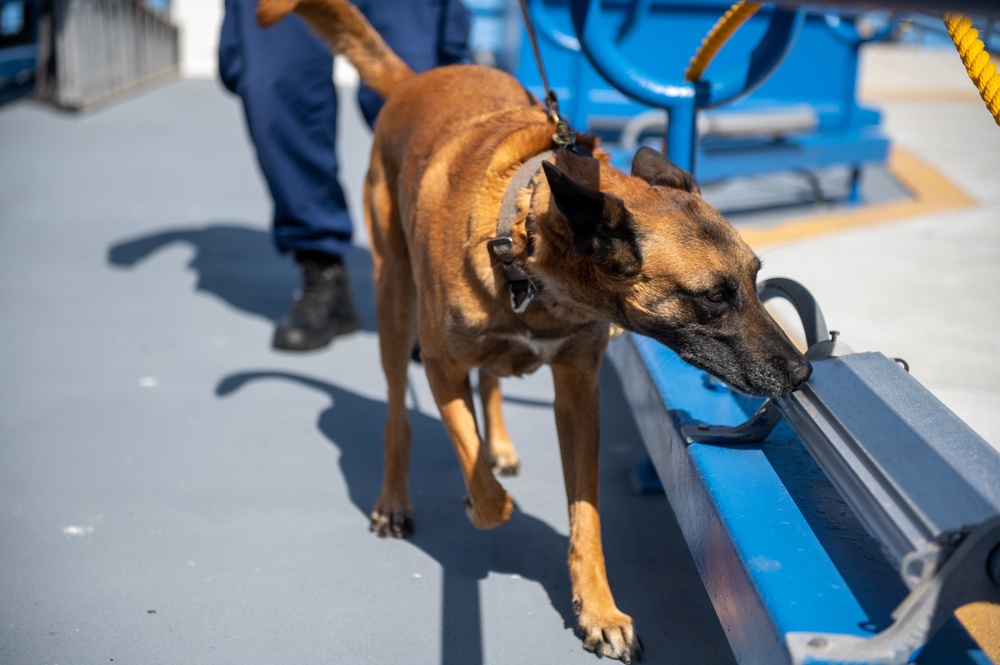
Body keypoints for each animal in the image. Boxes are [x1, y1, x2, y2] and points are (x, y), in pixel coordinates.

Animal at [256, 0, 812, 660]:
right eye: (713, 297)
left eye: (756, 279)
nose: (803, 372)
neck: (524, 243)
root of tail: (416, 81)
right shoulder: (441, 366)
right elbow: (481, 483)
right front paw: (479, 500)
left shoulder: (578, 392)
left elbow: (585, 513)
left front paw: (599, 609)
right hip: (395, 306)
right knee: (398, 415)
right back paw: (396, 499)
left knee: (490, 382)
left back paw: (497, 442)